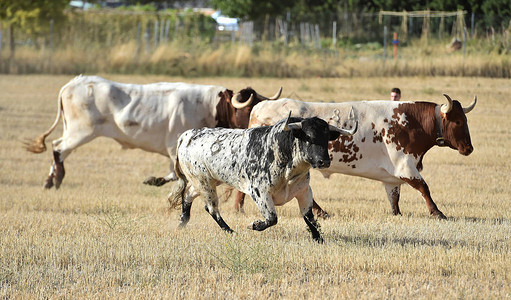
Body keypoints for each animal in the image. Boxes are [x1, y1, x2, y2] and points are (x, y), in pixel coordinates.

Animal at [24, 75, 282, 189]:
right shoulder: (175, 147)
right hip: (81, 132)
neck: (210, 105)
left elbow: (173, 174)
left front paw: (155, 180)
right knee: (59, 149)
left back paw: (52, 180)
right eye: (250, 109)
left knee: (58, 149)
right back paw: (55, 180)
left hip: (74, 131)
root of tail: (73, 83)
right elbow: (177, 174)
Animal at [167, 112, 356, 241]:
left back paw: (182, 223)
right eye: (308, 136)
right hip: (204, 182)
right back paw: (230, 231)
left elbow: (309, 216)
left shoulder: (303, 191)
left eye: (327, 137)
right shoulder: (259, 192)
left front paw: (318, 238)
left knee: (188, 195)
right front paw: (254, 225)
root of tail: (186, 136)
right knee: (211, 208)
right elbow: (272, 218)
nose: (324, 161)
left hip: (206, 181)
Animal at [235, 95, 476, 219]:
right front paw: (437, 212)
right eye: (458, 121)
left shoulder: (392, 177)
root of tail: (260, 106)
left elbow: (394, 197)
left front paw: (397, 214)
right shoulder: (405, 167)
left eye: (465, 119)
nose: (469, 148)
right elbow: (424, 188)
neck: (410, 122)